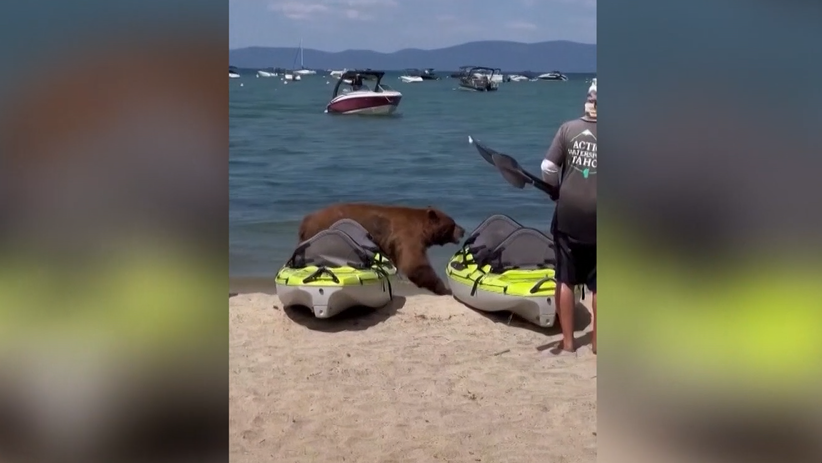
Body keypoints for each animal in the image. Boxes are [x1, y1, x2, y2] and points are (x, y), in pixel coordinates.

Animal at [298, 203, 466, 296]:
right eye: (452, 224)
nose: (463, 230)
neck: (423, 229)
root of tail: (306, 220)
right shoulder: (407, 235)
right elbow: (414, 264)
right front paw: (444, 289)